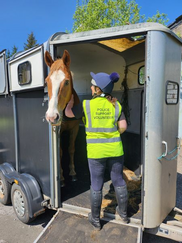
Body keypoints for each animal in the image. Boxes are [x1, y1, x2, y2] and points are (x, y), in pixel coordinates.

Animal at [44, 49, 79, 186]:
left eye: (67, 81)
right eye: (46, 81)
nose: (52, 117)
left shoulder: (75, 129)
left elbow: (71, 149)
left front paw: (73, 172)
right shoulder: (58, 131)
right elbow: (60, 152)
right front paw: (62, 178)